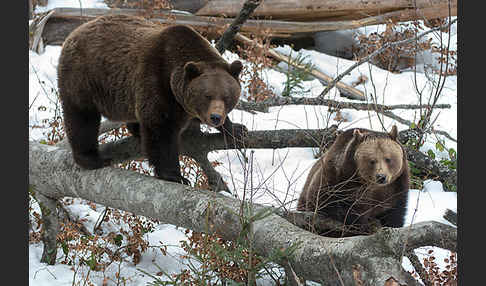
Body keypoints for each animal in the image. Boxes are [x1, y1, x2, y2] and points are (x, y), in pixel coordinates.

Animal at [57, 15, 247, 183]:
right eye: (207, 95)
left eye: (227, 96)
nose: (215, 117)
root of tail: (75, 32)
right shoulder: (158, 81)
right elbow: (160, 130)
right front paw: (175, 175)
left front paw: (236, 128)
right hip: (83, 78)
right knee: (82, 118)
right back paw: (93, 158)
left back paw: (135, 129)